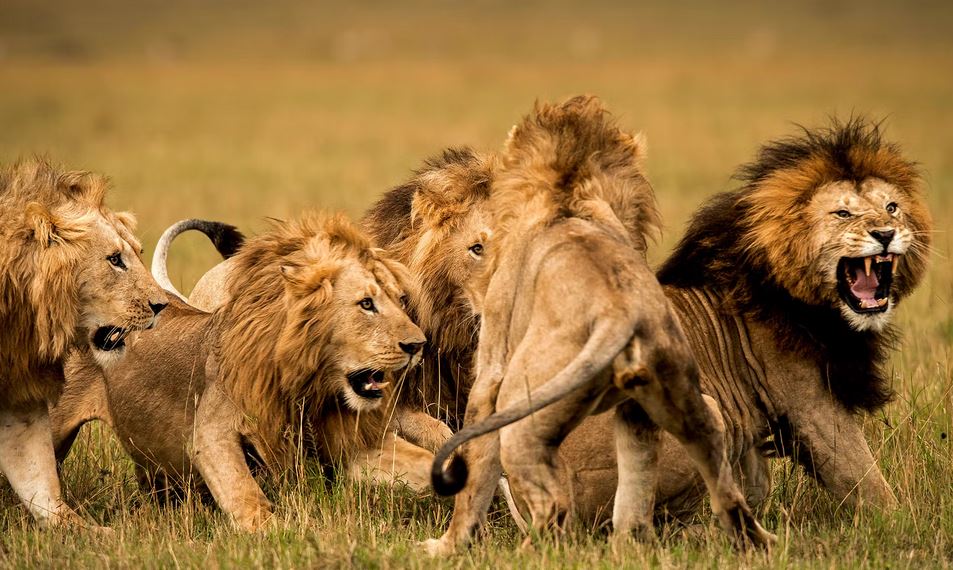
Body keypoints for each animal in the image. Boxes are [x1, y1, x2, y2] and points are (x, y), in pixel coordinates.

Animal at [0, 157, 168, 528]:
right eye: (114, 259)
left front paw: (89, 531)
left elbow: (39, 480)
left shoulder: (20, 397)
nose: (162, 306)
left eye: (138, 253)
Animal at [48, 212, 433, 531]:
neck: (309, 386)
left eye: (401, 300)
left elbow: (422, 460)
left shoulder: (346, 441)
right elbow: (247, 496)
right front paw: (282, 533)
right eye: (366, 304)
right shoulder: (212, 433)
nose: (418, 345)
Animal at [422, 96, 775, 555]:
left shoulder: (490, 371)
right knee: (706, 479)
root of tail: (617, 311)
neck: (568, 195)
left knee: (552, 506)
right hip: (682, 402)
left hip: (521, 411)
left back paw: (526, 554)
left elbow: (475, 470)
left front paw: (448, 545)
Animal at [549, 117, 933, 526]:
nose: (886, 234)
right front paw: (902, 522)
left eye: (892, 208)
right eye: (843, 214)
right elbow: (864, 477)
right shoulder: (810, 401)